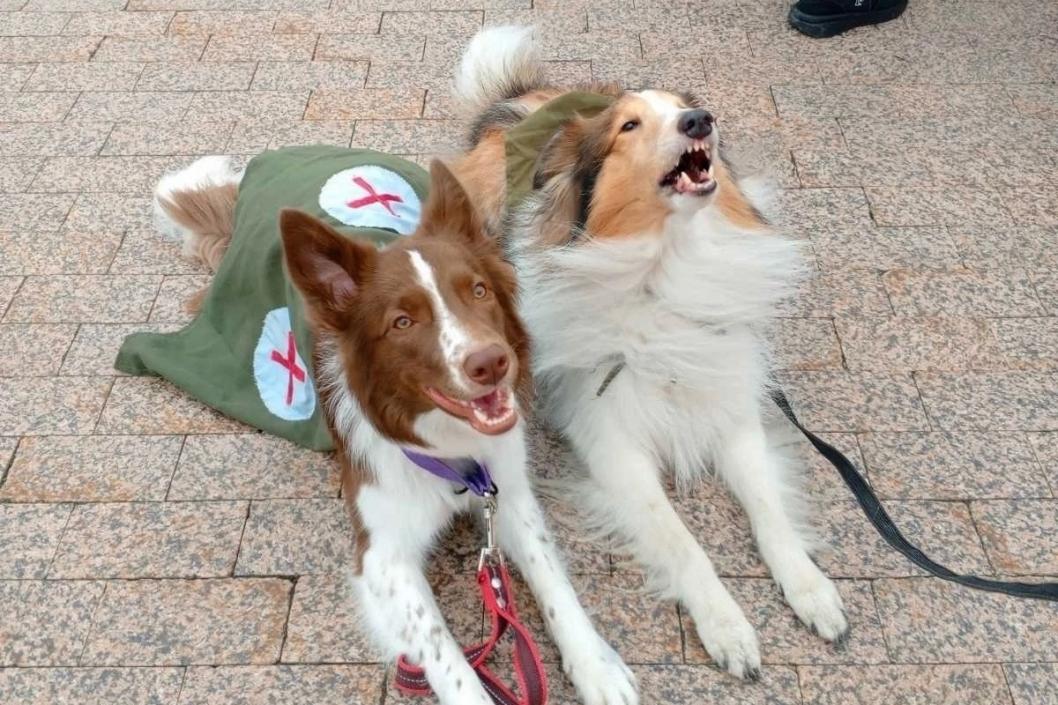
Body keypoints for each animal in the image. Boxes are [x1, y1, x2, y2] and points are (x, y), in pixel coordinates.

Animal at [150, 155, 634, 702]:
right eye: (403, 322)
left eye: (479, 291)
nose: (492, 363)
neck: (453, 454)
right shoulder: (382, 555)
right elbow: (445, 653)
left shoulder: (507, 494)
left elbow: (554, 582)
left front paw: (597, 667)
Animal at [448, 24, 850, 677]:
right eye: (629, 127)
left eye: (688, 105)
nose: (699, 120)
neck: (668, 267)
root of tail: (521, 98)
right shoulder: (613, 443)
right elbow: (682, 541)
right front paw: (727, 626)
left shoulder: (733, 415)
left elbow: (769, 510)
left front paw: (811, 589)